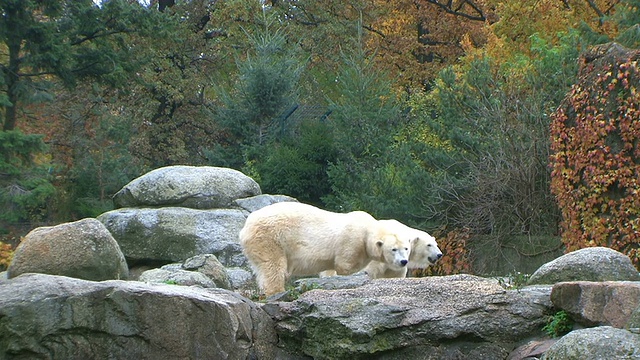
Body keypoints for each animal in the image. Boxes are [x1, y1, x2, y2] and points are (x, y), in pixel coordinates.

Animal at [238, 201, 412, 296]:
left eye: (406, 248)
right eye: (393, 249)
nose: (404, 262)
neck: (367, 229)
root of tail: (246, 225)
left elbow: (330, 269)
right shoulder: (351, 242)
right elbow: (344, 266)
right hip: (271, 237)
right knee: (274, 265)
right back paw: (277, 291)